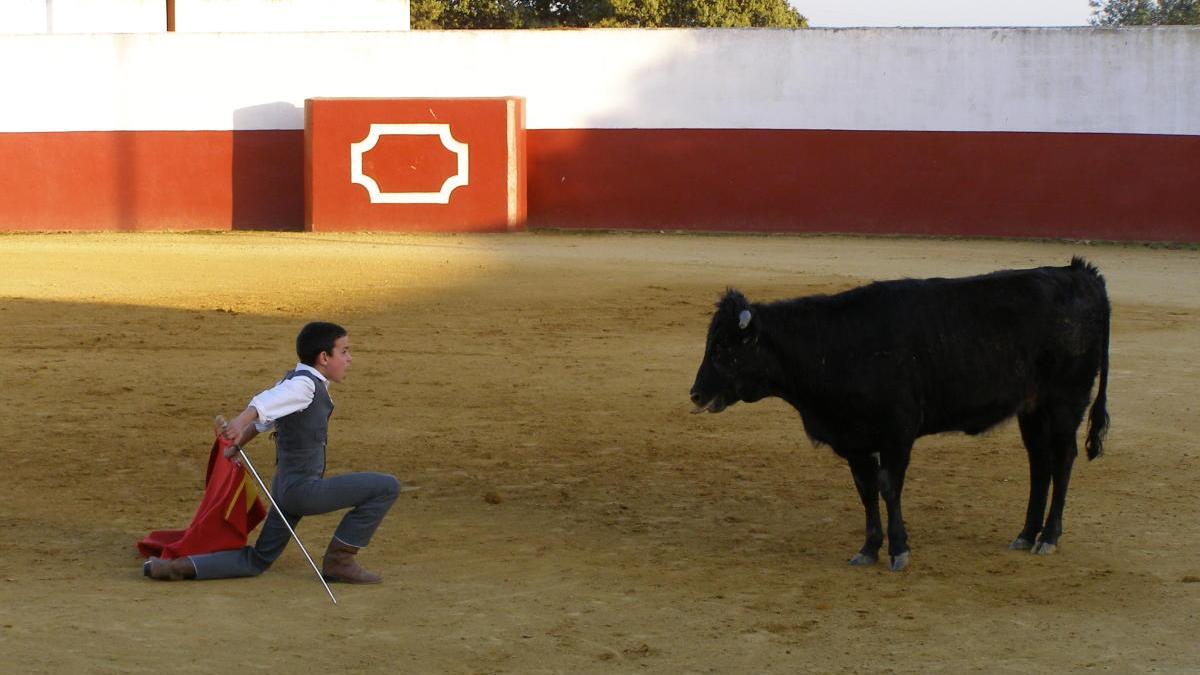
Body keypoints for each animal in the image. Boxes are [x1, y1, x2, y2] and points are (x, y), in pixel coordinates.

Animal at [691, 255, 1108, 566]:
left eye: (723, 347)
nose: (695, 394)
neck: (833, 347)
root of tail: (1079, 273)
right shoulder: (854, 440)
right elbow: (865, 489)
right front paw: (868, 549)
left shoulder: (897, 433)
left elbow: (889, 486)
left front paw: (899, 550)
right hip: (1032, 408)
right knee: (1039, 462)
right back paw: (1025, 534)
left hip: (1065, 400)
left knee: (1063, 458)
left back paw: (1049, 537)